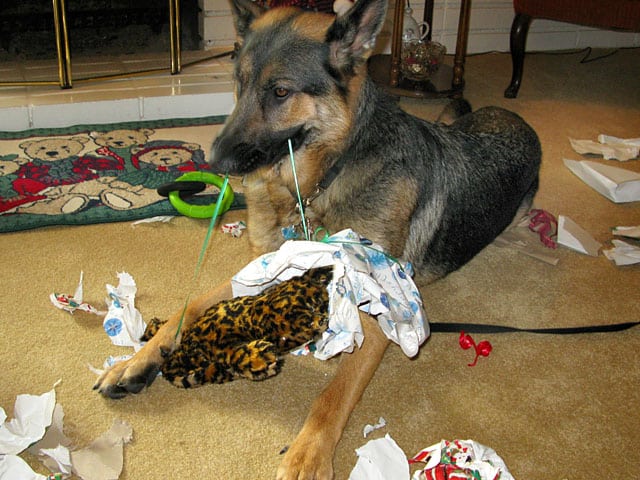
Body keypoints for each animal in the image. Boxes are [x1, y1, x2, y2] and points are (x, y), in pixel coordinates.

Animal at [95, 0, 544, 476]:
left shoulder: (376, 314)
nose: (212, 162)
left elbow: (333, 394)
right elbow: (193, 304)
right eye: (239, 83)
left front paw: (307, 453)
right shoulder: (260, 271)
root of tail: (517, 119)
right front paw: (136, 360)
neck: (322, 182)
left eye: (280, 92)